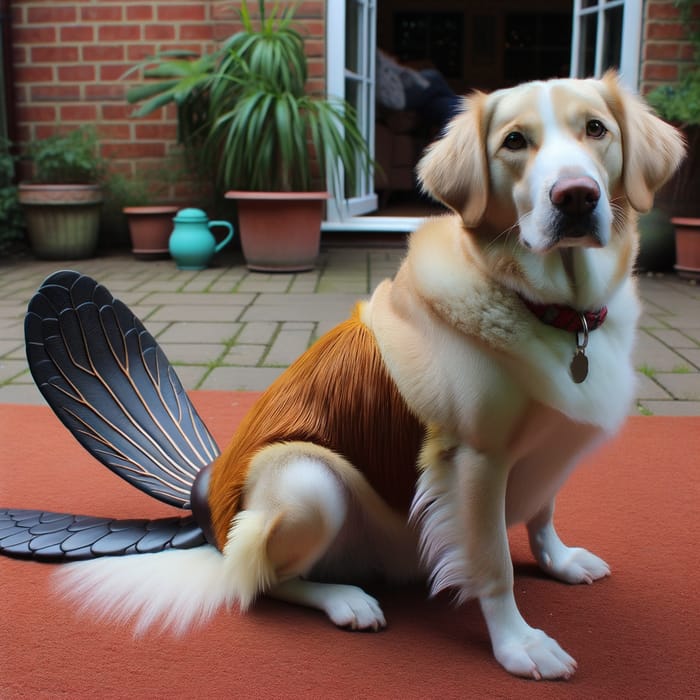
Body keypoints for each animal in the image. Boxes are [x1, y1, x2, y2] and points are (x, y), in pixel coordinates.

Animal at [53, 74, 684, 680]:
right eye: (514, 141)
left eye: (596, 129)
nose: (575, 195)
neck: (554, 310)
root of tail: (211, 517)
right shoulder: (475, 461)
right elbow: (493, 565)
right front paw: (517, 644)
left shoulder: (548, 443)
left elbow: (544, 512)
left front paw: (559, 560)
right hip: (311, 482)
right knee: (259, 580)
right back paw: (345, 599)